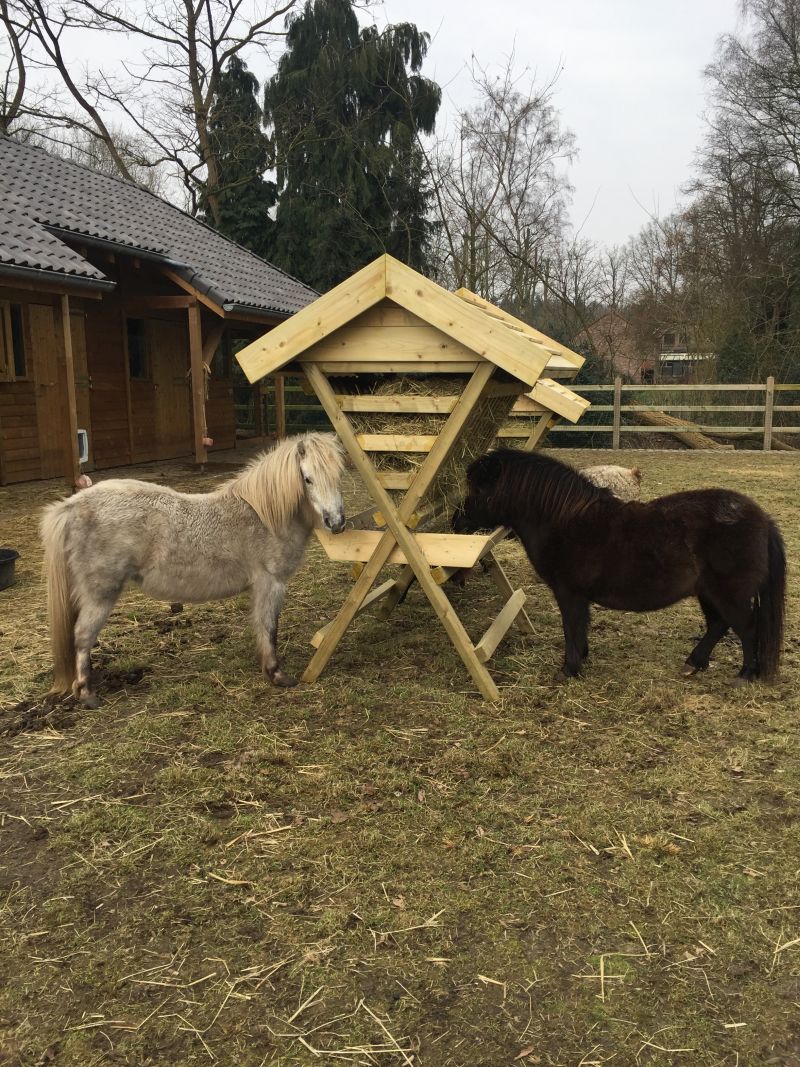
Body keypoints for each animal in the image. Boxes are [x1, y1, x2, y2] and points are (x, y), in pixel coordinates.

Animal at [42, 428, 345, 704]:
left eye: (340, 476)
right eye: (307, 479)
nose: (336, 522)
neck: (263, 515)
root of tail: (71, 506)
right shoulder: (270, 583)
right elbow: (269, 628)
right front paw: (277, 675)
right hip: (100, 593)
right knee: (83, 635)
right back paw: (87, 694)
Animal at [456, 448, 789, 682]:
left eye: (479, 489)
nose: (457, 520)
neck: (565, 519)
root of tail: (762, 518)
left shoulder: (569, 593)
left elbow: (571, 627)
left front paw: (569, 669)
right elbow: (580, 628)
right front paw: (581, 659)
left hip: (730, 594)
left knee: (747, 628)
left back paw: (745, 675)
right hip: (708, 593)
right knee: (718, 626)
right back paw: (694, 663)